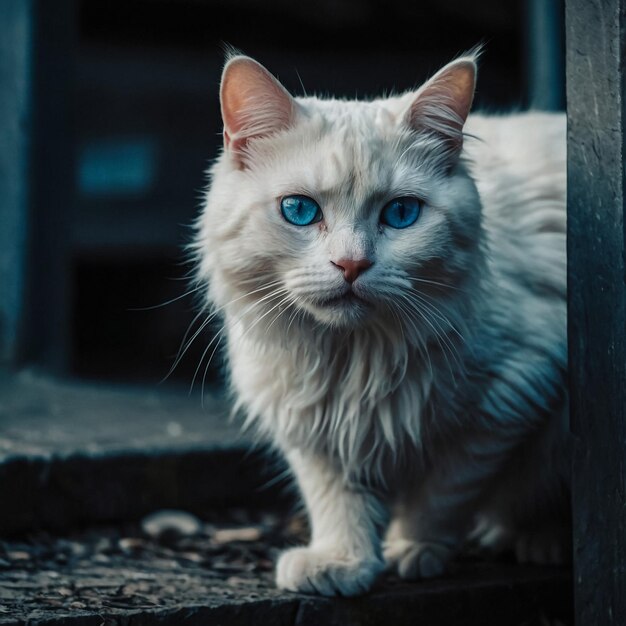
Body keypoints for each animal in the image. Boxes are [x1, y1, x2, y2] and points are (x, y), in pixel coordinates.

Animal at [193, 53, 568, 596]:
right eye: (299, 210)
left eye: (402, 213)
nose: (351, 265)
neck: (353, 358)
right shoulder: (309, 418)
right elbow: (334, 498)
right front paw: (341, 563)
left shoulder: (511, 396)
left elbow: (444, 492)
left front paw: (412, 549)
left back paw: (541, 540)